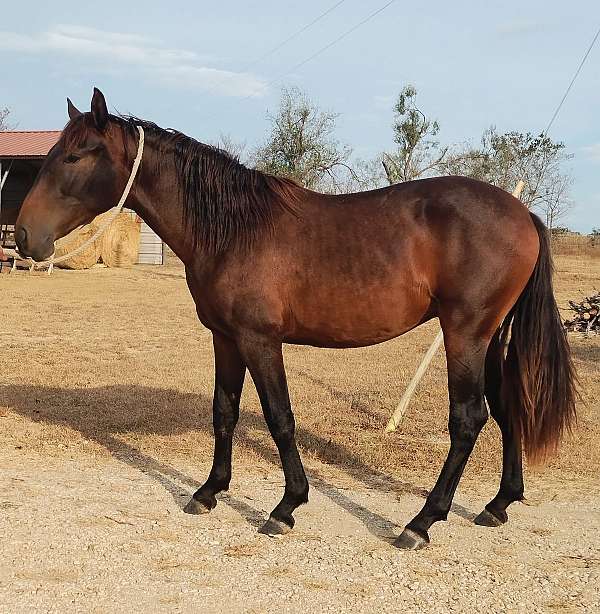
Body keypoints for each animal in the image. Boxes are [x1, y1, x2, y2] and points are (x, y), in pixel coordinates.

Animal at [14, 89, 576, 552]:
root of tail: (523, 213)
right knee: (506, 407)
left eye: (73, 155)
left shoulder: (260, 340)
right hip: (490, 335)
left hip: (464, 332)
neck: (232, 230)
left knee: (468, 419)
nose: (22, 236)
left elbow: (279, 417)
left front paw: (286, 507)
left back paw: (421, 522)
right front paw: (209, 491)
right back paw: (498, 504)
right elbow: (224, 412)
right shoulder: (225, 339)